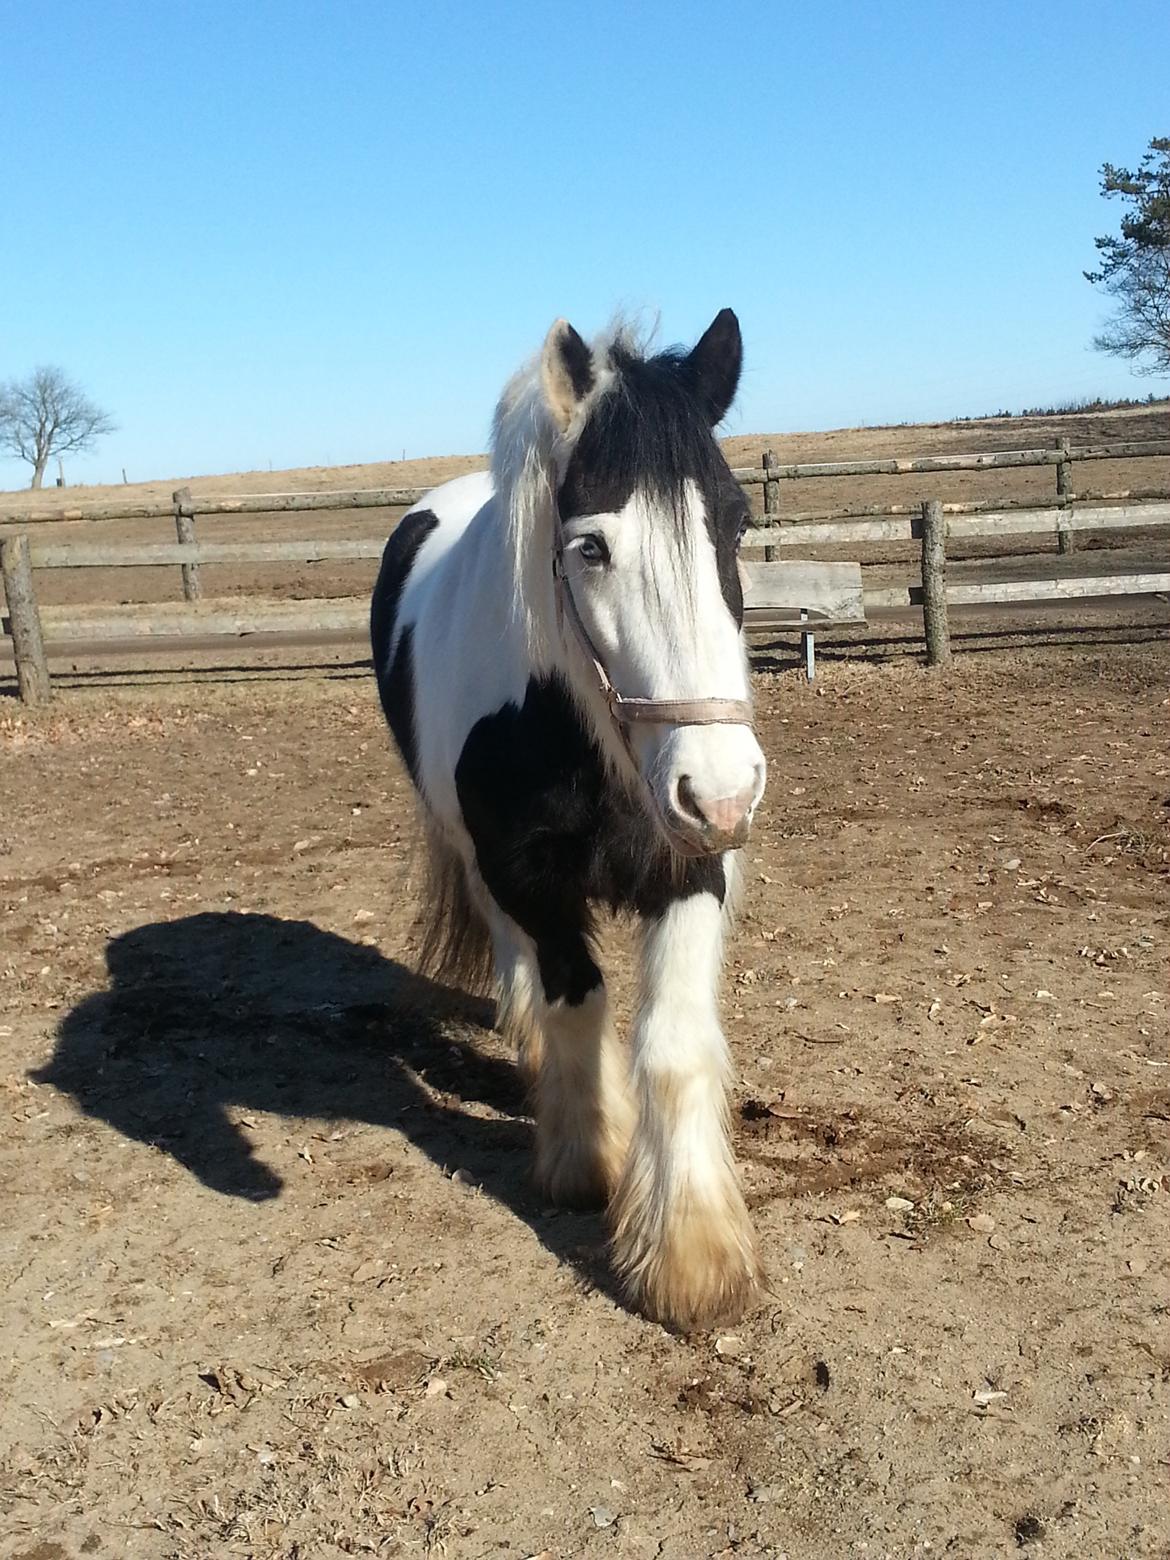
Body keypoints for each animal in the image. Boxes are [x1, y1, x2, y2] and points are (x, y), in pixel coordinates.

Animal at [368, 307, 770, 1329]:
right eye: (591, 546)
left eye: (736, 522)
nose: (722, 791)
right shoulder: (524, 873)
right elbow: (576, 1001)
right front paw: (589, 1156)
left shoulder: (690, 867)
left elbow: (672, 1043)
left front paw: (690, 1255)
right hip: (477, 859)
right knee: (519, 971)